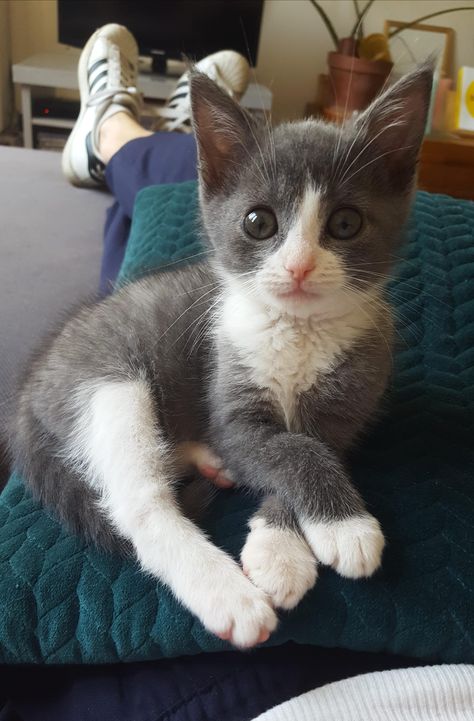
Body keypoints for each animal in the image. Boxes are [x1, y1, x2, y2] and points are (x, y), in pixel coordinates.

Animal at [11, 66, 434, 648]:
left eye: (345, 224)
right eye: (258, 222)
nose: (299, 266)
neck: (297, 332)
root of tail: (32, 383)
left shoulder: (350, 401)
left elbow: (310, 447)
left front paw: (282, 550)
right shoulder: (230, 397)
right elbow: (291, 450)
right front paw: (344, 529)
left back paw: (209, 463)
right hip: (108, 384)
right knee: (139, 505)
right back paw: (226, 594)